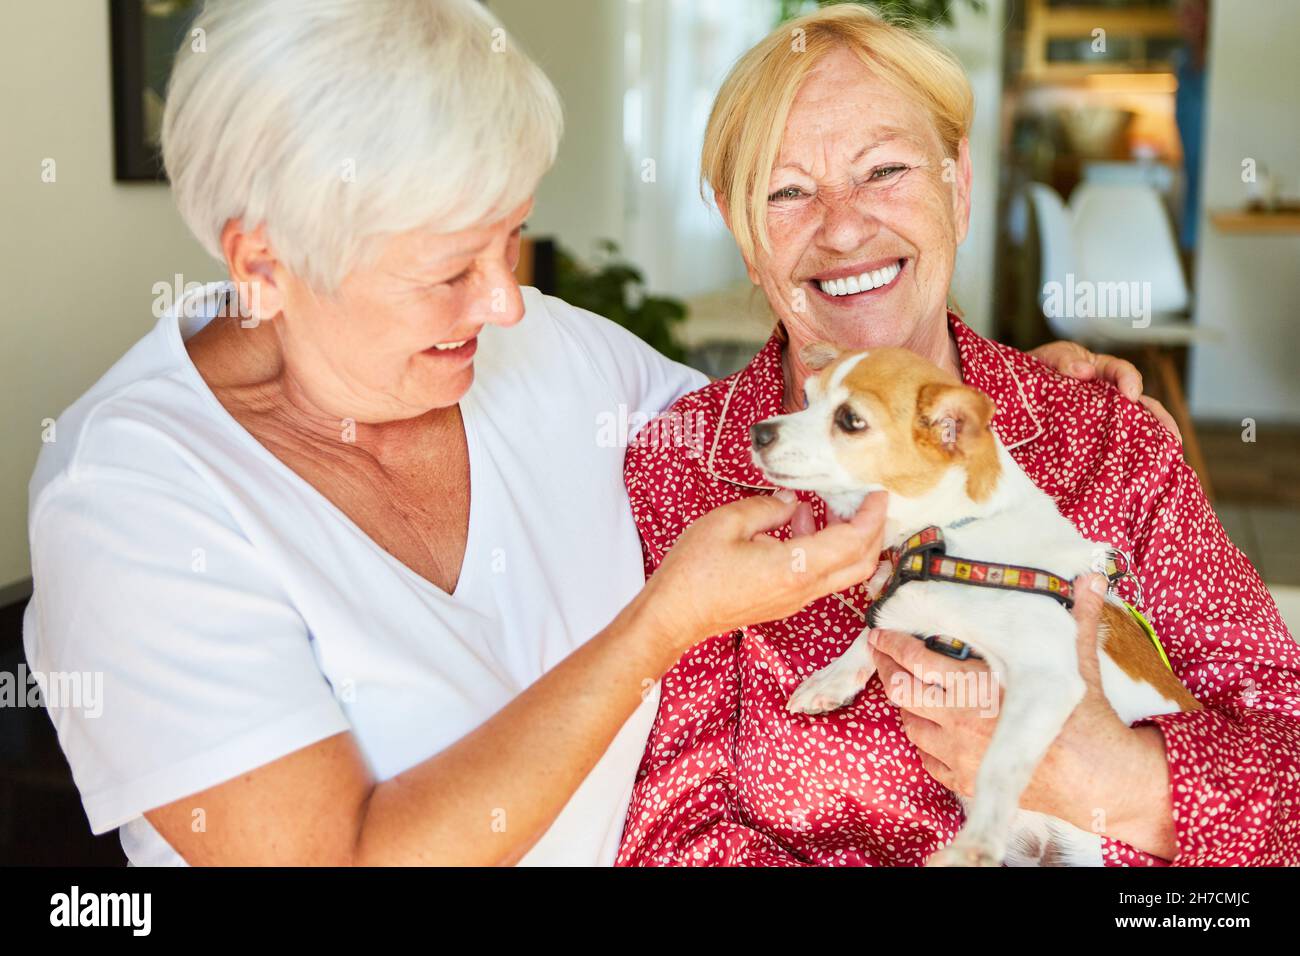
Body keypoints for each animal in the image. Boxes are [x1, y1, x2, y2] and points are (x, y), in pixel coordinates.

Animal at [754, 343, 1196, 868]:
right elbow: (874, 627)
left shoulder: (1046, 680)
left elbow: (1000, 763)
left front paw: (977, 839)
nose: (759, 432)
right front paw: (832, 679)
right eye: (805, 398)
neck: (952, 540)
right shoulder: (906, 601)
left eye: (850, 420)